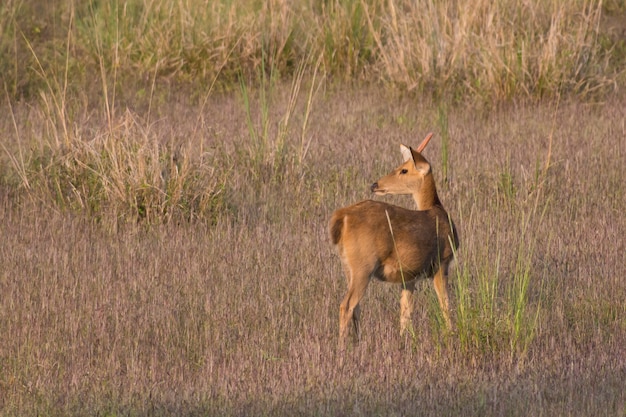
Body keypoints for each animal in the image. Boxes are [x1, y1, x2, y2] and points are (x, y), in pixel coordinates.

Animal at [326, 132, 458, 346]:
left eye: (403, 169)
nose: (375, 184)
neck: (437, 209)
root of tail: (342, 217)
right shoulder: (442, 262)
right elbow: (445, 304)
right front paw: (450, 335)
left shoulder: (409, 276)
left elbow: (405, 311)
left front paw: (404, 340)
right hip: (364, 265)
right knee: (346, 305)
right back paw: (342, 348)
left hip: (348, 267)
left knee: (356, 307)